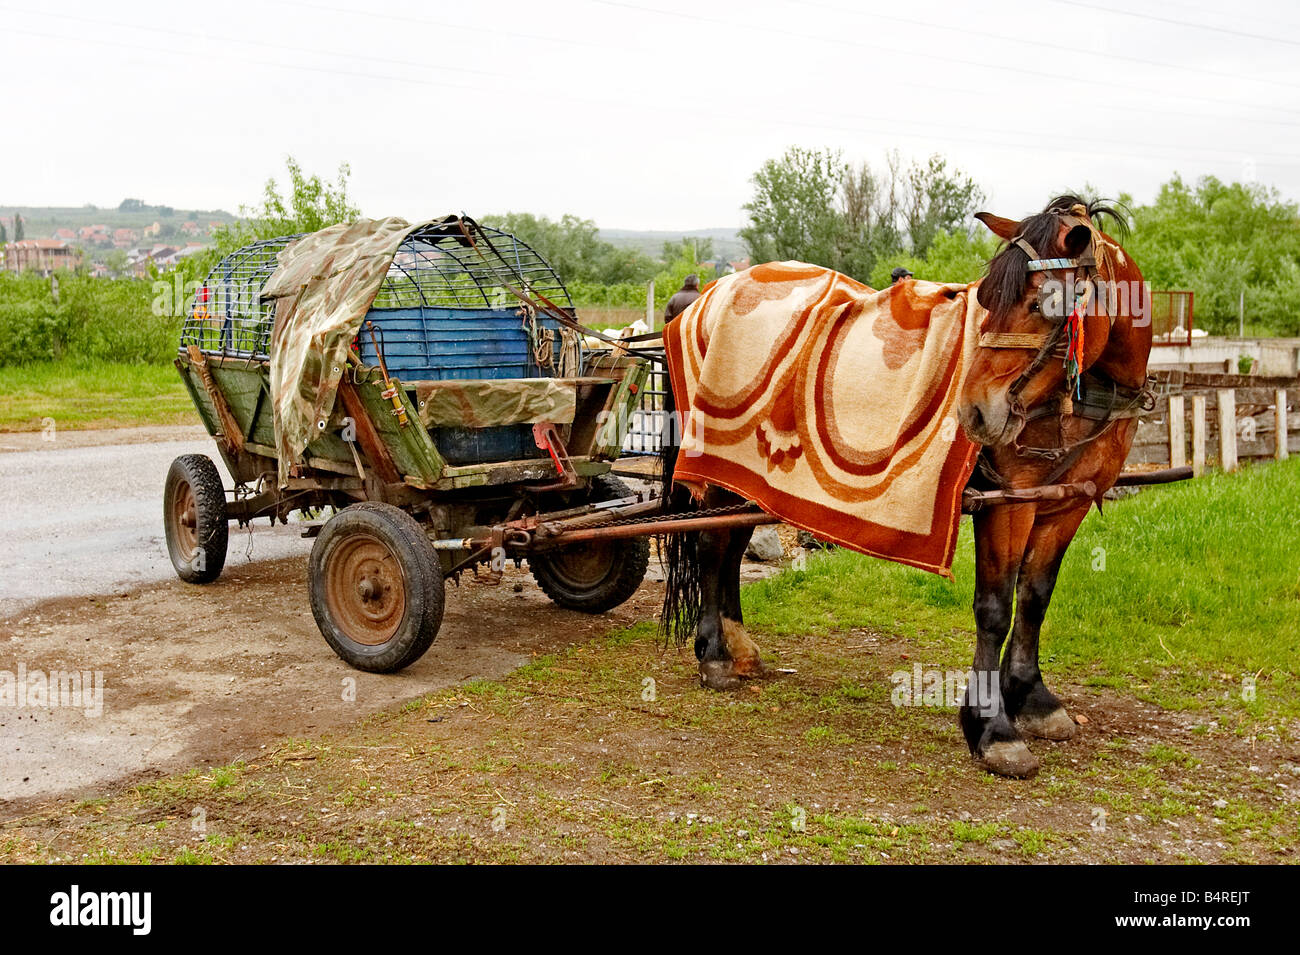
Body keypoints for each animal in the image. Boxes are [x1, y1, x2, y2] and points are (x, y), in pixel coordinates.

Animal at [660, 196, 1149, 779]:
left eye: (1042, 303)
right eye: (987, 299)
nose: (974, 412)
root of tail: (710, 295)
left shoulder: (1062, 505)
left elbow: (1034, 598)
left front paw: (1033, 698)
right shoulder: (1006, 504)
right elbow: (995, 609)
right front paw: (992, 728)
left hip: (749, 478)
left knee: (732, 546)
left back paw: (740, 647)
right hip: (718, 469)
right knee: (713, 546)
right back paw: (714, 655)